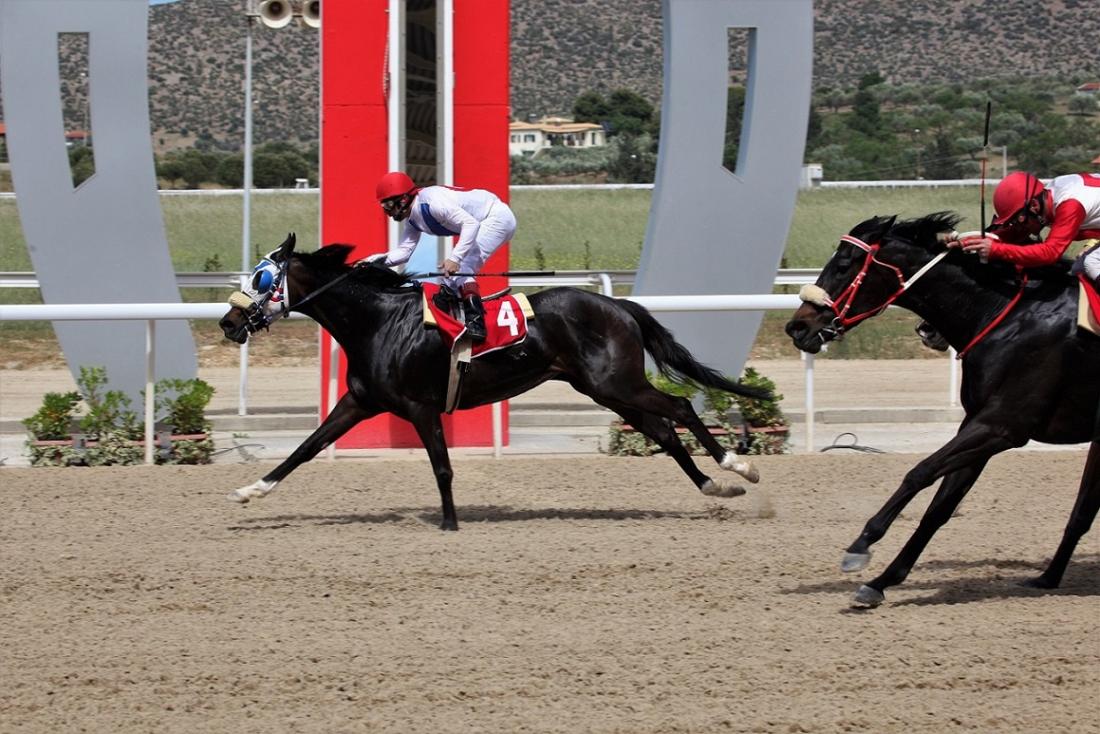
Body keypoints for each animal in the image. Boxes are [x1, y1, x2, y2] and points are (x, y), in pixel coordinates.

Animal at [219, 233, 770, 530]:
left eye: (263, 279)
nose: (228, 322)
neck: (379, 322)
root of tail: (619, 305)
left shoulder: (419, 406)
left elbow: (442, 467)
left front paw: (449, 521)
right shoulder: (360, 402)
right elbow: (305, 448)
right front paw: (248, 491)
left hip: (617, 383)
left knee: (680, 410)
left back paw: (738, 467)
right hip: (603, 389)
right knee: (664, 431)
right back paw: (715, 486)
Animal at [785, 212, 1100, 608]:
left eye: (843, 265)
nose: (797, 326)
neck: (1006, 313)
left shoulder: (1002, 426)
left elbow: (919, 472)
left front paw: (862, 543)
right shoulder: (979, 424)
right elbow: (940, 507)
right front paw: (881, 581)